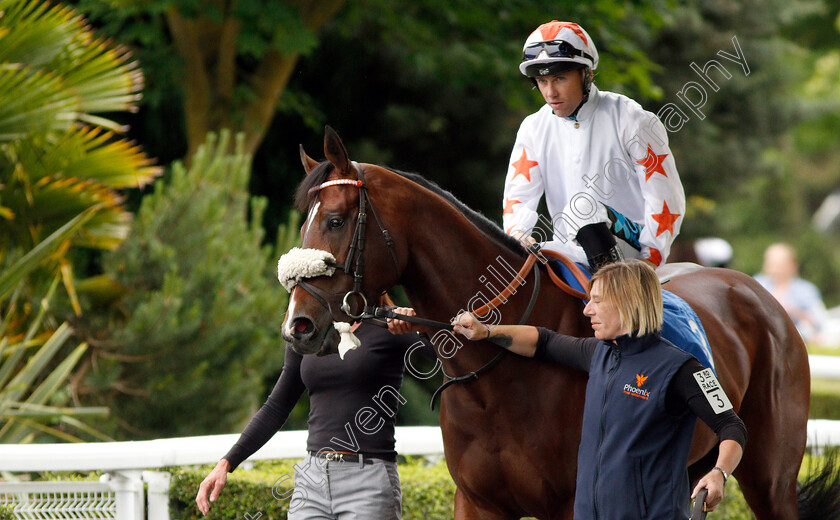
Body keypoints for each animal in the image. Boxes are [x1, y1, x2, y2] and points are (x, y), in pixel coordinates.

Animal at [286, 127, 824, 520]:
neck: (498, 377)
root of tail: (761, 298)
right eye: (304, 221)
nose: (299, 326)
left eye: (335, 220)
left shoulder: (571, 502)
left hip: (770, 477)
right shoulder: (478, 502)